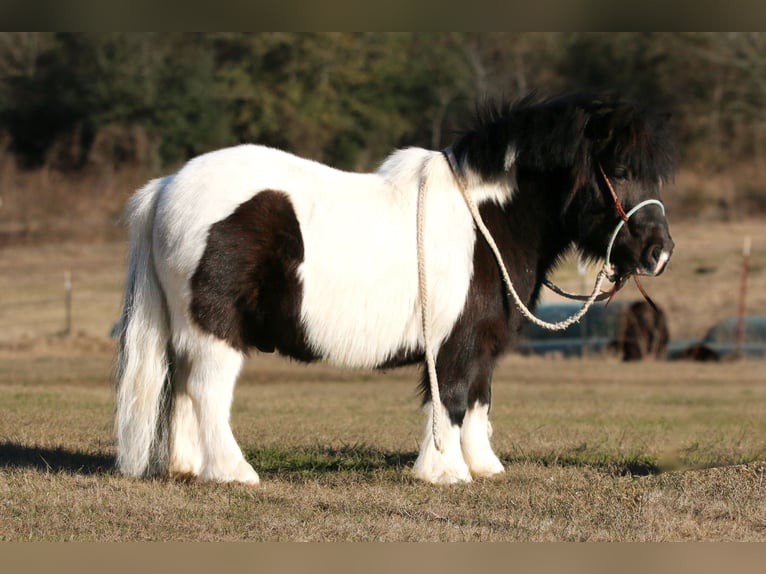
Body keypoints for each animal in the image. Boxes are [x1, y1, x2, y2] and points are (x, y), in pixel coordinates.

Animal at [115, 91, 680, 486]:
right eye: (621, 171)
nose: (660, 252)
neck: (487, 222)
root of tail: (166, 187)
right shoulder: (455, 344)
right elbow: (451, 399)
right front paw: (445, 471)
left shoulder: (483, 342)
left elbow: (479, 399)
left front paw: (483, 467)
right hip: (216, 330)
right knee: (208, 390)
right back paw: (234, 472)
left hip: (189, 332)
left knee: (182, 388)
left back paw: (189, 468)